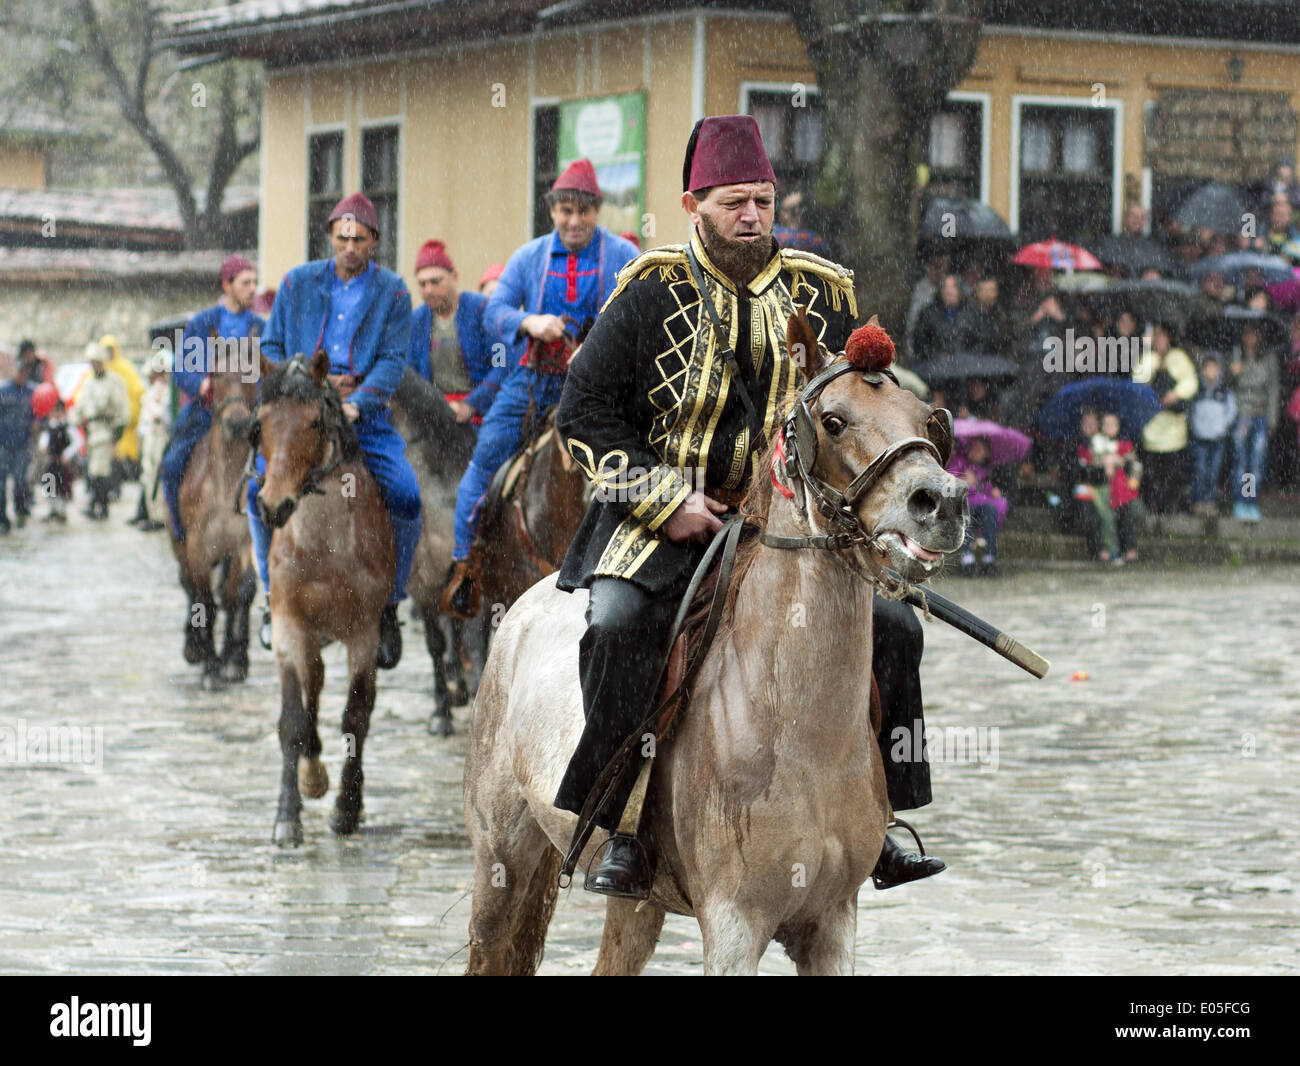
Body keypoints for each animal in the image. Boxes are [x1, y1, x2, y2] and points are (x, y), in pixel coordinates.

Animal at [167, 361, 258, 686]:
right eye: (216, 375)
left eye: (253, 372)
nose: (237, 422)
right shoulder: (196, 547)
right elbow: (203, 599)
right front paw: (209, 662)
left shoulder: (244, 544)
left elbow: (238, 593)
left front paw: (233, 661)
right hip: (178, 543)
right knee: (189, 586)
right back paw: (194, 647)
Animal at [253, 353, 392, 847]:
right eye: (261, 423)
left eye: (314, 422)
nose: (273, 505)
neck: (322, 546)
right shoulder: (290, 628)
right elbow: (293, 719)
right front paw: (287, 815)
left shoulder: (365, 633)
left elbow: (356, 715)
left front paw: (346, 810)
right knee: (310, 689)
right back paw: (312, 773)